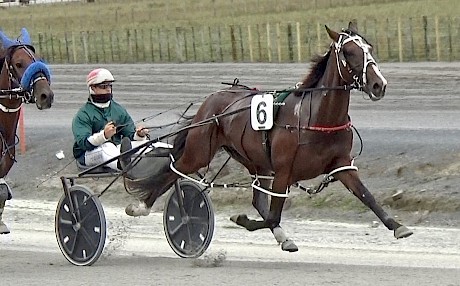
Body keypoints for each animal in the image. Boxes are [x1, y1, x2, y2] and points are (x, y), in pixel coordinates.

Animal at [125, 20, 414, 252]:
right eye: (349, 52)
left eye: (370, 49)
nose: (379, 85)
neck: (315, 117)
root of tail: (211, 100)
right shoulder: (284, 172)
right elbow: (273, 216)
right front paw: (241, 220)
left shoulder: (341, 164)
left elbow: (366, 195)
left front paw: (397, 226)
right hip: (200, 151)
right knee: (173, 170)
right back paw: (142, 207)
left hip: (256, 162)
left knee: (255, 197)